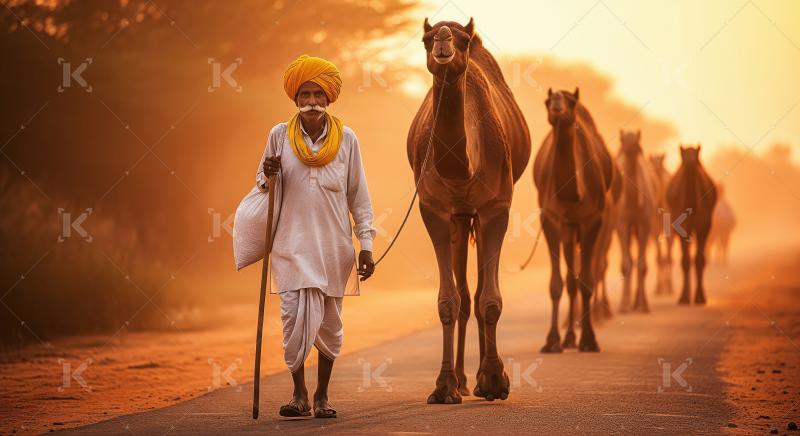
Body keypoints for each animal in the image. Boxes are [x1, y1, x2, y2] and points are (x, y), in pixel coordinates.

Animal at [407, 18, 531, 404]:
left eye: (462, 40)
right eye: (425, 39)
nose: (444, 41)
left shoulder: (496, 207)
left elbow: (489, 300)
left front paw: (494, 381)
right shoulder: (434, 209)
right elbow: (448, 300)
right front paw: (444, 386)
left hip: (475, 214)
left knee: (475, 294)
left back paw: (477, 380)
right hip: (461, 218)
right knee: (463, 295)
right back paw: (462, 380)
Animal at [534, 87, 615, 352]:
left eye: (571, 101)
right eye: (547, 101)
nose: (556, 107)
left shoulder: (593, 219)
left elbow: (586, 281)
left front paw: (589, 339)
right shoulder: (550, 219)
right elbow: (556, 284)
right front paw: (551, 341)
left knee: (578, 278)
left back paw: (575, 337)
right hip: (568, 228)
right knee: (569, 281)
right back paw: (568, 337)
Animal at [666, 145, 717, 305]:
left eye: (695, 155)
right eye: (684, 155)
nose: (690, 160)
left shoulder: (704, 226)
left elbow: (700, 260)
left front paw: (700, 297)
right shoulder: (681, 226)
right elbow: (685, 261)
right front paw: (684, 298)